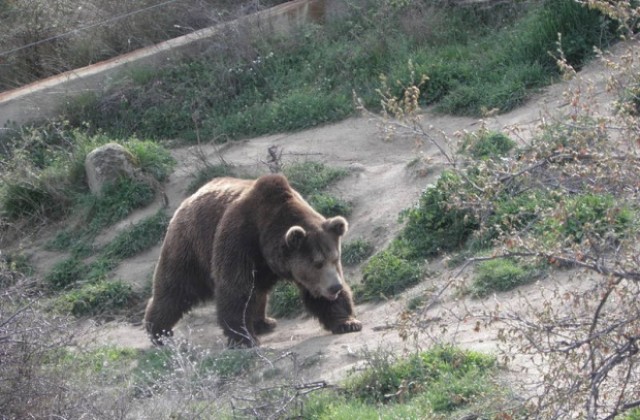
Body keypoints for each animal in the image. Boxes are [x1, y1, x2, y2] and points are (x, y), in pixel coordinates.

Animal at [147, 172, 362, 346]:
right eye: (317, 263)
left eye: (335, 258)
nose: (335, 287)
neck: (266, 235)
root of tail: (188, 199)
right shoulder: (239, 239)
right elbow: (235, 289)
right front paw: (244, 338)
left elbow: (317, 295)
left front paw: (348, 322)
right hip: (191, 245)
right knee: (176, 288)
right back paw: (159, 332)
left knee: (258, 291)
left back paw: (264, 322)